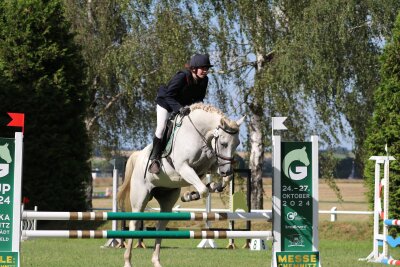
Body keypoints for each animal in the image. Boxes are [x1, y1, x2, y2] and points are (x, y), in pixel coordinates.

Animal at [118, 103, 244, 267]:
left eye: (237, 144)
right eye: (223, 143)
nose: (226, 170)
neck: (199, 134)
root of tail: (137, 155)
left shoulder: (210, 166)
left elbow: (223, 180)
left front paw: (211, 187)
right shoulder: (184, 167)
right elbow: (203, 190)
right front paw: (190, 195)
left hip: (167, 198)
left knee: (160, 225)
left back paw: (156, 261)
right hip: (140, 197)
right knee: (134, 223)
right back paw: (127, 261)